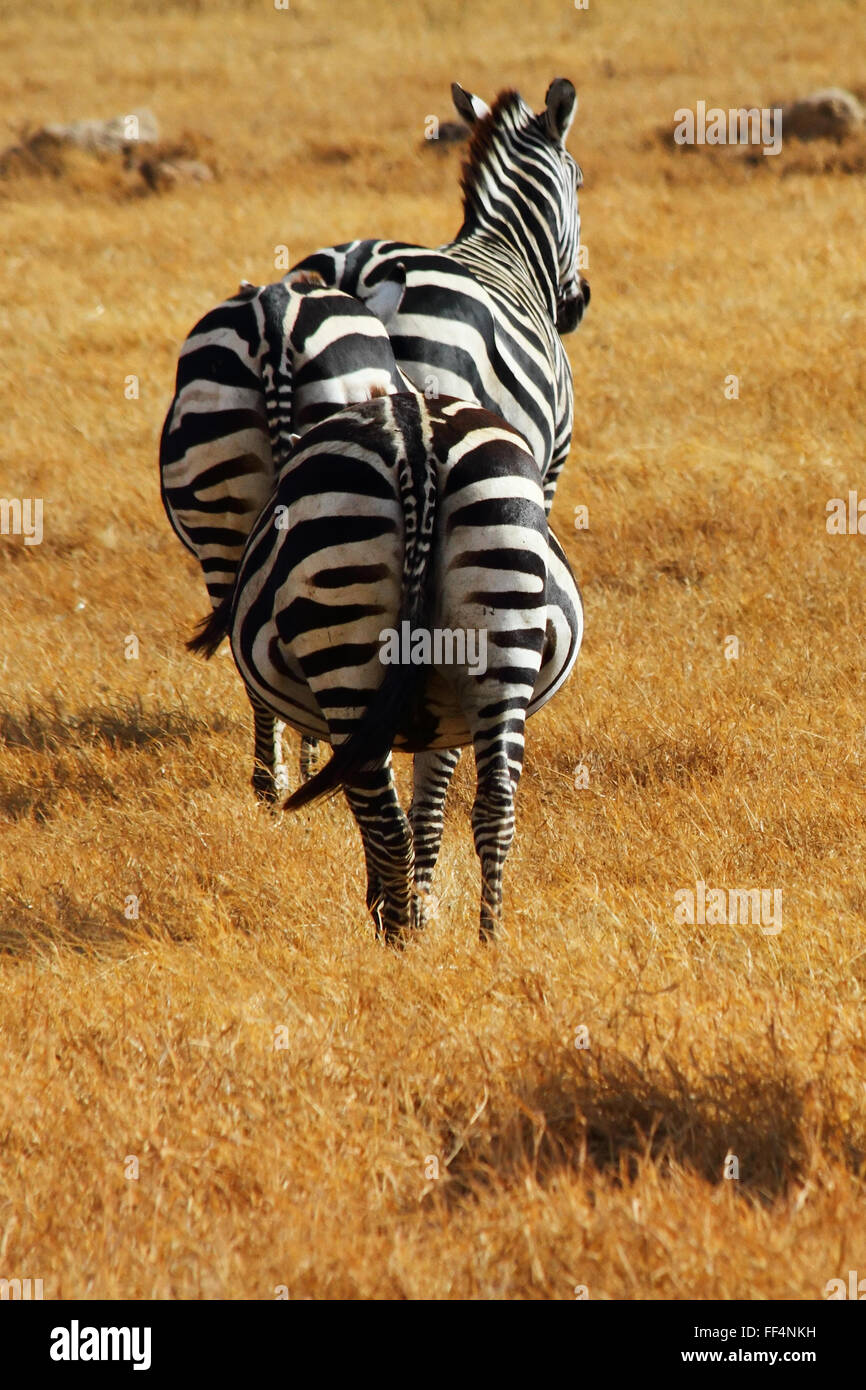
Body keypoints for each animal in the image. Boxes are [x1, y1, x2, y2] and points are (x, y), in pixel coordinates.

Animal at [193, 392, 583, 942]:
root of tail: (417, 438)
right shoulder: (446, 721)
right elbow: (430, 815)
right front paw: (421, 908)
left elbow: (390, 812)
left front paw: (398, 909)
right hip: (502, 623)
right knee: (495, 806)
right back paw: (488, 940)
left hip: (341, 633)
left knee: (380, 815)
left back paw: (395, 939)